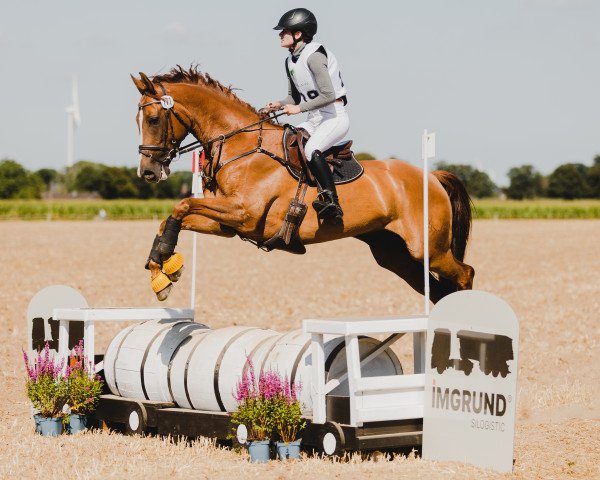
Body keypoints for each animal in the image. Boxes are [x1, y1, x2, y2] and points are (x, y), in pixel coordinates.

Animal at [131, 67, 474, 302]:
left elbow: (183, 205)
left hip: (428, 249)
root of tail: (432, 177)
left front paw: (165, 264)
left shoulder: (244, 213)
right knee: (438, 290)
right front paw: (160, 270)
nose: (147, 172)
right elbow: (173, 217)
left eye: (153, 120)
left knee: (465, 274)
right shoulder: (227, 223)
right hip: (393, 253)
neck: (242, 146)